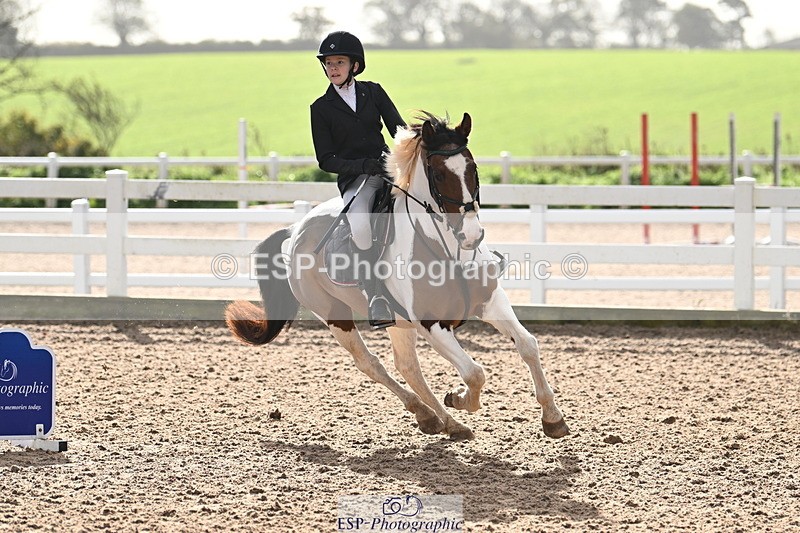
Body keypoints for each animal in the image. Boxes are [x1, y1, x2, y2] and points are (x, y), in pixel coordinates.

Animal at [225, 112, 569, 441]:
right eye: (439, 175)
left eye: (472, 168)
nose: (472, 236)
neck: (446, 249)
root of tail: (295, 229)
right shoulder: (432, 324)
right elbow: (474, 373)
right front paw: (458, 398)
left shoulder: (491, 303)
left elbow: (528, 345)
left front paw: (553, 419)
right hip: (334, 316)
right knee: (370, 363)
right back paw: (431, 415)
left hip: (398, 321)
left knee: (407, 367)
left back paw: (443, 422)